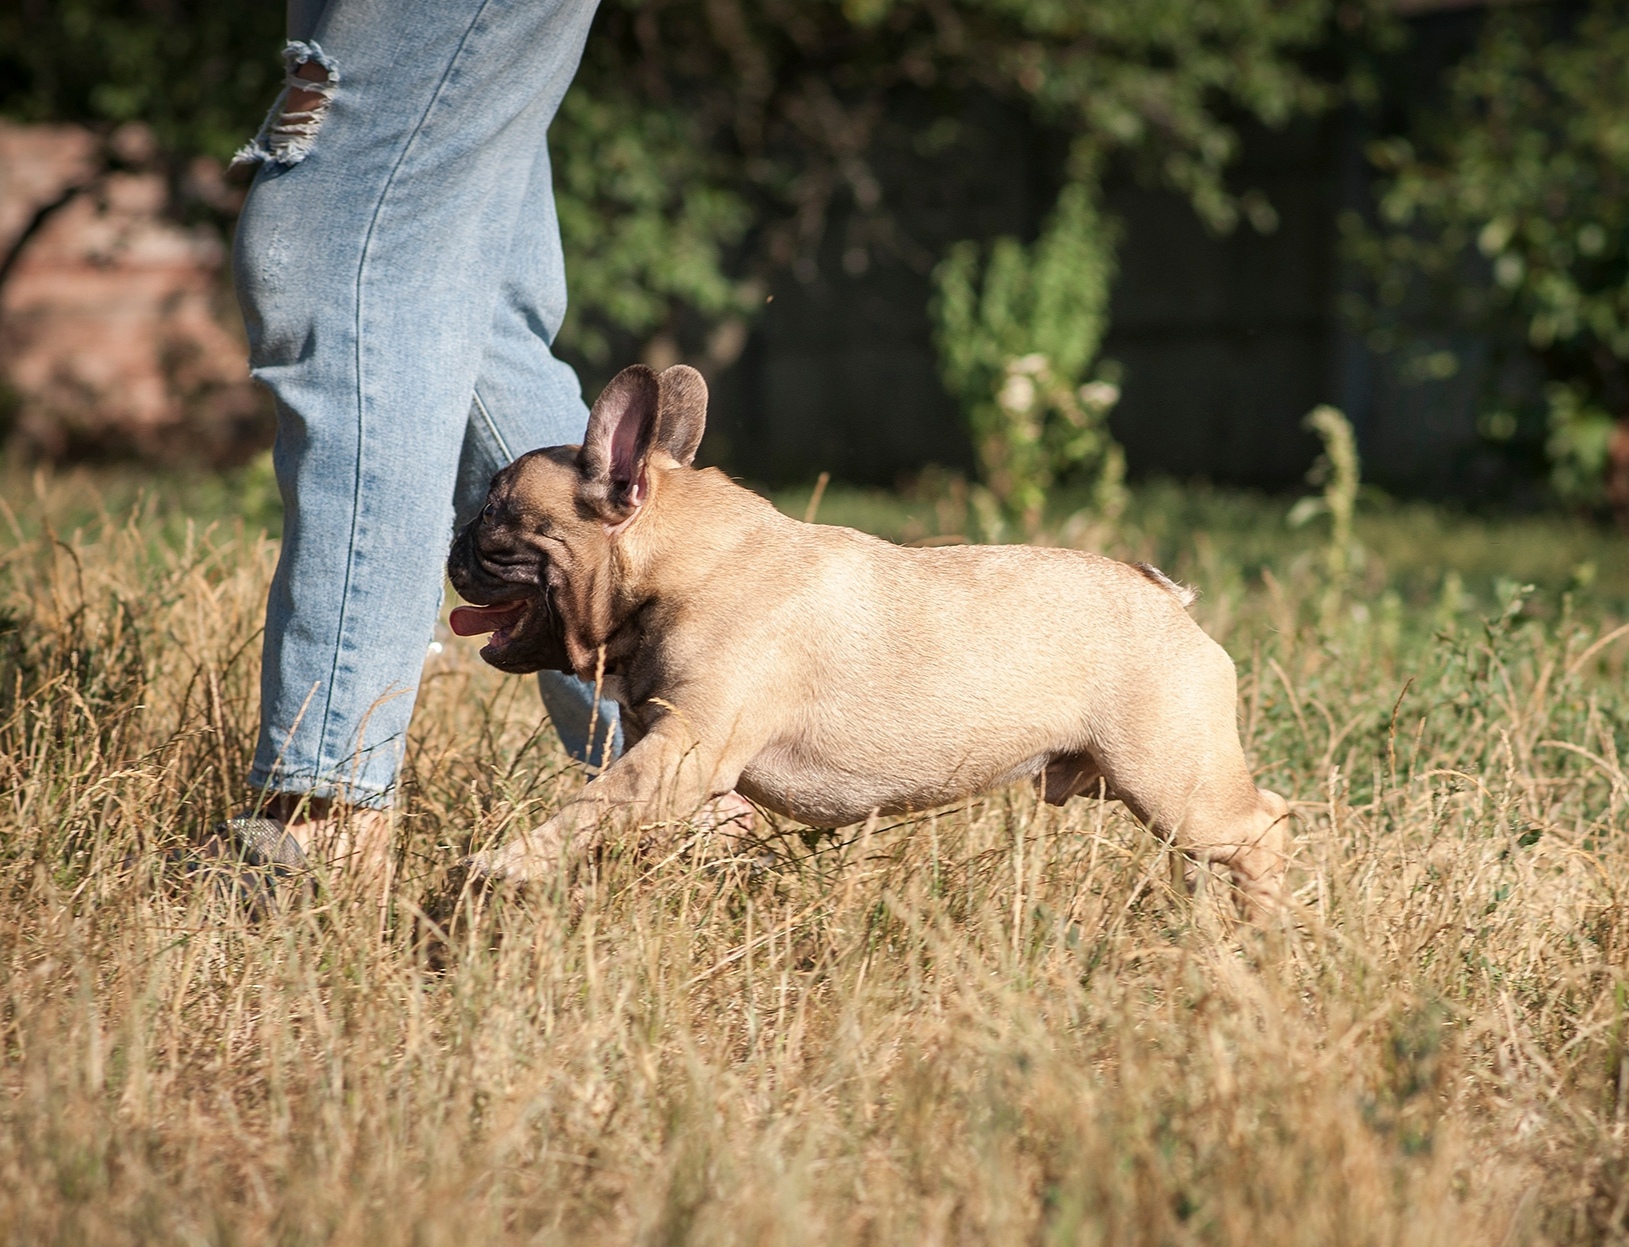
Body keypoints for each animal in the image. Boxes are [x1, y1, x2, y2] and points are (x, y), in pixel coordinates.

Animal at [443, 361, 1283, 918]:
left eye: (494, 512)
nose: (454, 543)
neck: (682, 561)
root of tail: (1167, 596)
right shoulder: (677, 760)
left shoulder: (681, 752)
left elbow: (591, 803)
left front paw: (505, 862)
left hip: (1172, 778)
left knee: (1263, 826)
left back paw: (1266, 927)